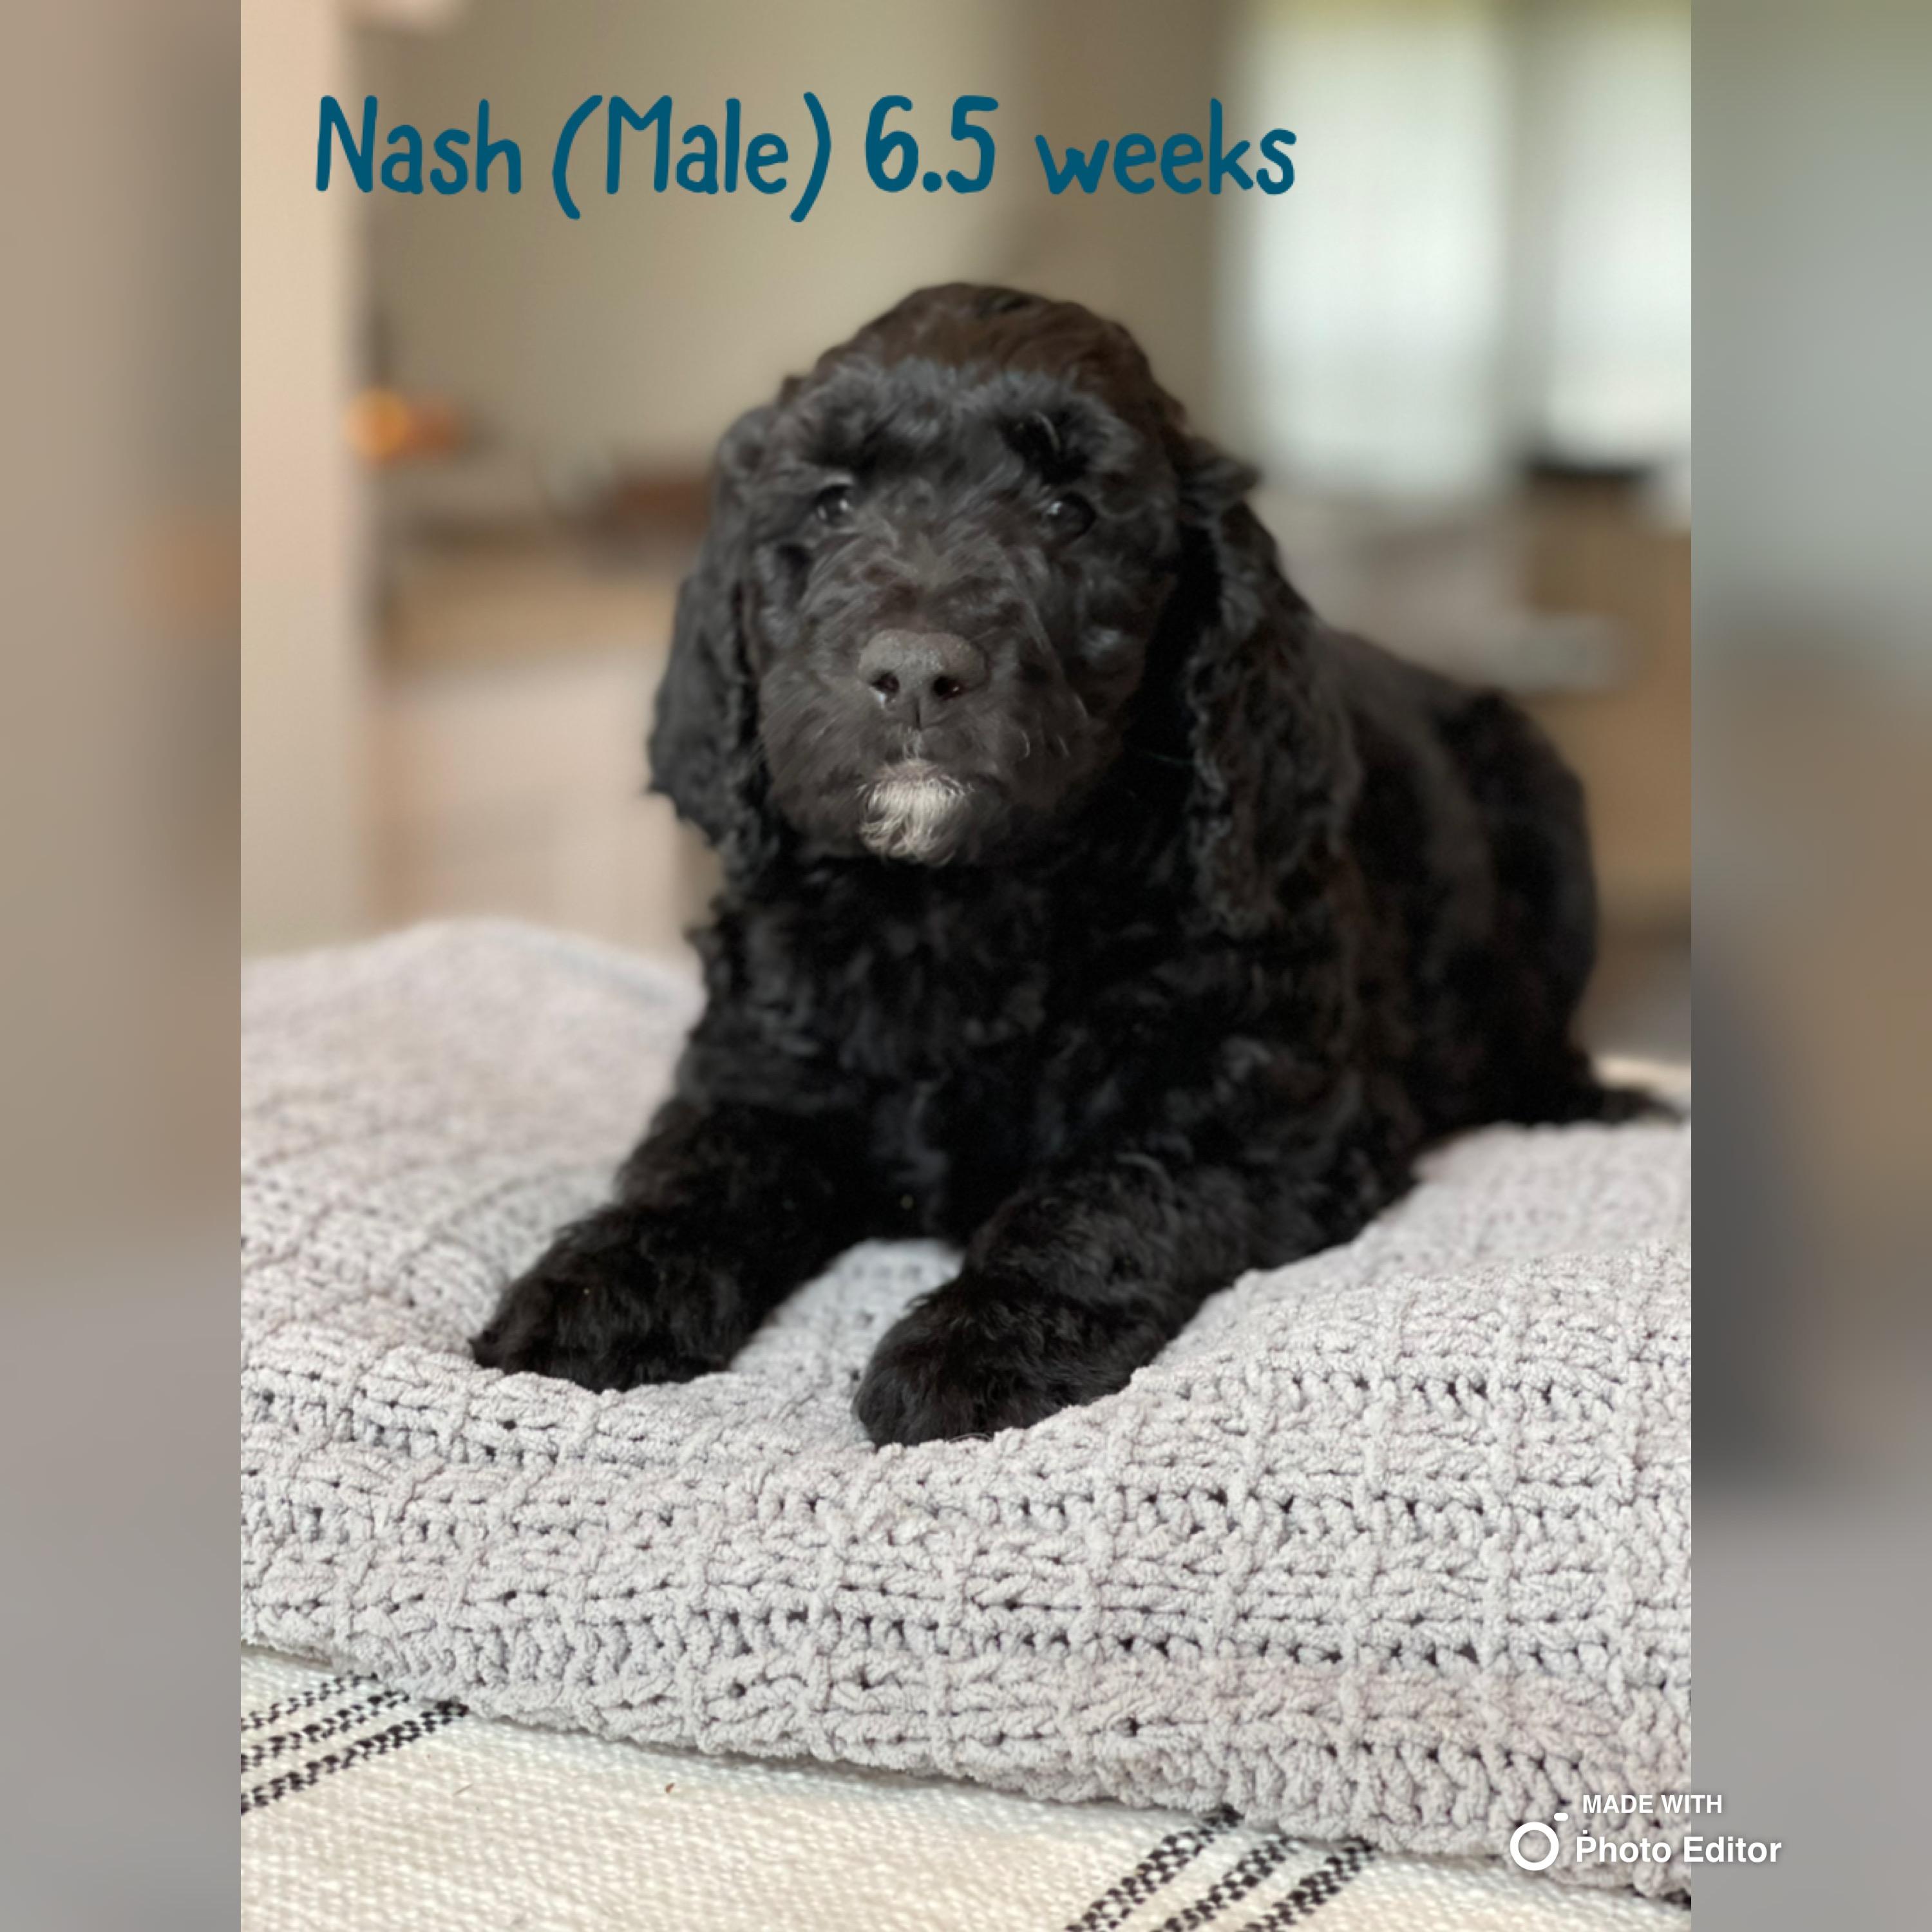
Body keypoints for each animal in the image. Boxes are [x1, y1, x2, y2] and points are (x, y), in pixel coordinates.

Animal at [472, 283, 1646, 1445]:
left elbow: (1103, 1189)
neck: (956, 901)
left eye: (1068, 514)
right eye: (834, 504)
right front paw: (596, 1290)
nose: (914, 672)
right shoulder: (759, 1067)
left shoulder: (1268, 1110)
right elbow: (693, 1167)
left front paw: (978, 1342)